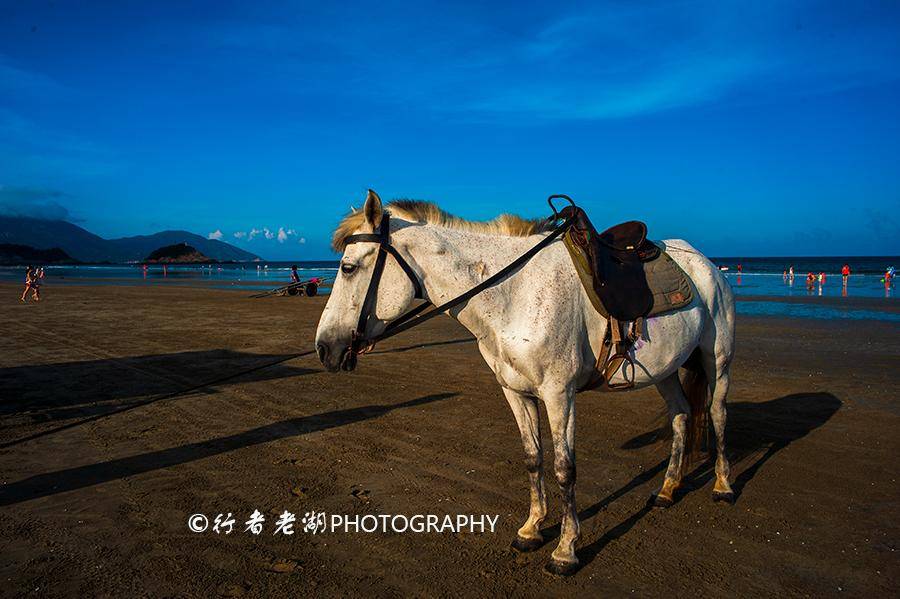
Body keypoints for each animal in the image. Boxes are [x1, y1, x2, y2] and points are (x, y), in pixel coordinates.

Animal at [318, 192, 740, 576]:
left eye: (348, 267)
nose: (324, 348)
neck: (514, 293)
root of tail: (704, 263)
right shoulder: (516, 391)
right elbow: (533, 458)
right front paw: (532, 529)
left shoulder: (559, 394)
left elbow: (564, 468)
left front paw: (566, 550)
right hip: (665, 370)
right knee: (682, 416)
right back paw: (668, 489)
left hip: (716, 359)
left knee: (717, 414)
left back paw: (722, 485)